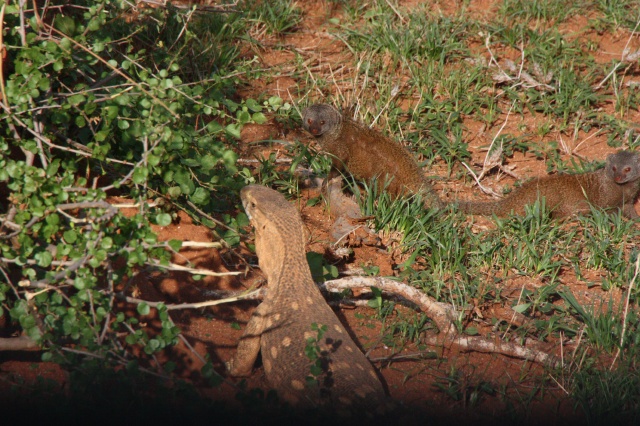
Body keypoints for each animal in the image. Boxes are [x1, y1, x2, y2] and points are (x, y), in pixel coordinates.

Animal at [302, 103, 443, 209]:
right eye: (309, 120)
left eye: (322, 122)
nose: (314, 129)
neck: (334, 135)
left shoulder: (340, 150)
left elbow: (338, 166)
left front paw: (327, 180)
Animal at [457, 150, 640, 219]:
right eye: (614, 168)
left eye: (628, 169)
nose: (618, 178)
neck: (622, 189)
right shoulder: (604, 199)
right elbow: (607, 211)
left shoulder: (628, 201)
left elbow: (630, 211)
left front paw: (635, 222)